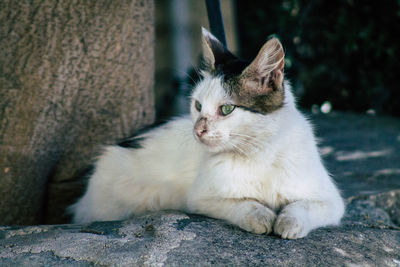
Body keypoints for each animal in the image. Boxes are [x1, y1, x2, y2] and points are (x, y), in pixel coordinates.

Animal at [69, 28, 344, 240]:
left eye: (227, 109)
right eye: (198, 105)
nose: (197, 130)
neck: (257, 153)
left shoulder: (332, 201)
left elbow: (301, 207)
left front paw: (288, 223)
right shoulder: (202, 199)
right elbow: (244, 204)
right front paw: (262, 217)